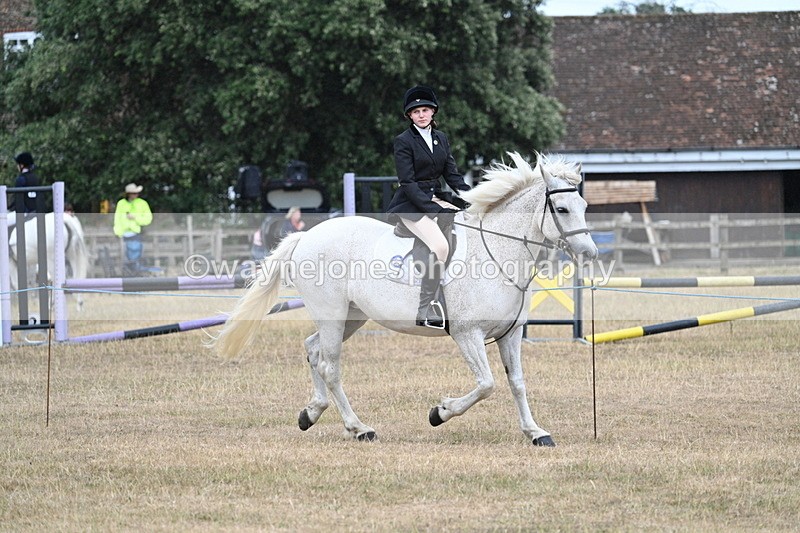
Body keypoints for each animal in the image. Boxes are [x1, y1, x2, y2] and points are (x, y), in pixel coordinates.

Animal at [214, 152, 598, 445]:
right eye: (561, 209)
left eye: (583, 204)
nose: (589, 254)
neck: (497, 251)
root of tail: (305, 236)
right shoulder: (467, 334)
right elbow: (487, 384)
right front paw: (439, 413)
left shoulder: (511, 334)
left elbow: (517, 383)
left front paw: (535, 432)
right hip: (331, 313)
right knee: (330, 366)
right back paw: (359, 428)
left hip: (352, 317)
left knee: (313, 349)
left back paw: (311, 413)